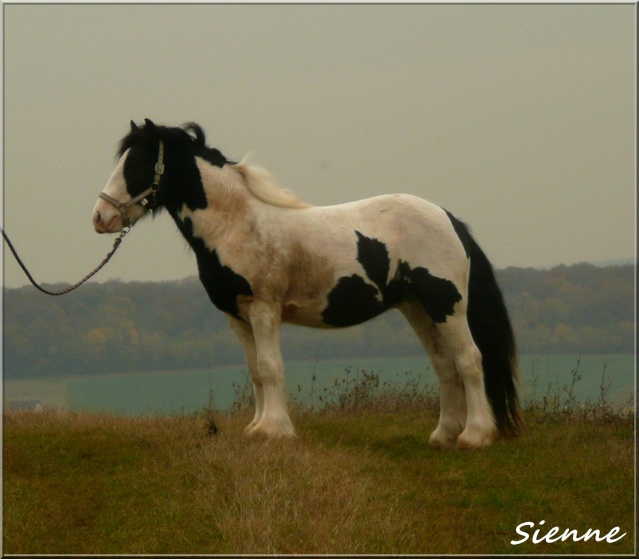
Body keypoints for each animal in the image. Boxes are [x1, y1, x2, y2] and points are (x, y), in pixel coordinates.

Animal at [96, 119, 524, 450]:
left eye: (137, 161)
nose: (100, 217)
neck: (236, 225)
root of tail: (450, 220)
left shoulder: (263, 308)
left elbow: (270, 367)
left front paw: (275, 431)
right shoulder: (237, 316)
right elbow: (255, 370)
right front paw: (256, 428)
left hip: (446, 304)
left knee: (469, 359)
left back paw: (475, 436)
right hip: (418, 309)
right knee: (445, 366)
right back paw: (443, 436)